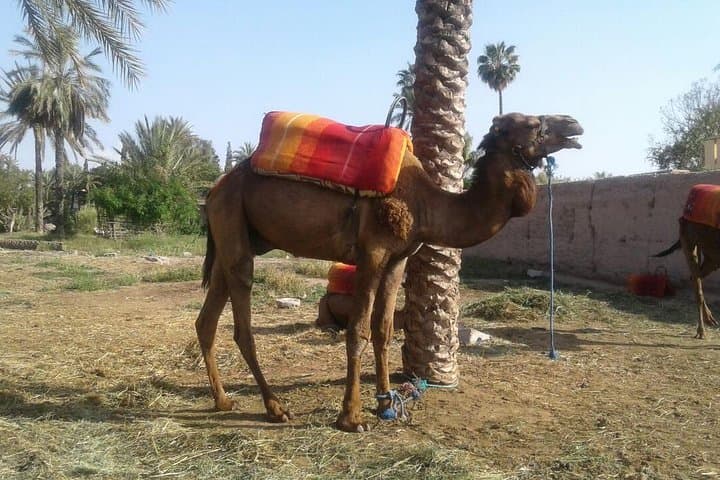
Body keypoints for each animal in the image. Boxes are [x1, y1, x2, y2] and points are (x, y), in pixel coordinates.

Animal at [195, 112, 583, 432]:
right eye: (533, 123)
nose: (575, 126)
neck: (428, 205)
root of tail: (213, 189)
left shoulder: (398, 260)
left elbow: (383, 330)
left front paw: (386, 406)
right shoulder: (372, 252)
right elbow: (358, 330)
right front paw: (350, 417)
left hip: (235, 234)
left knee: (207, 319)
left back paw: (223, 400)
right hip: (234, 222)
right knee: (241, 320)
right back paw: (275, 408)